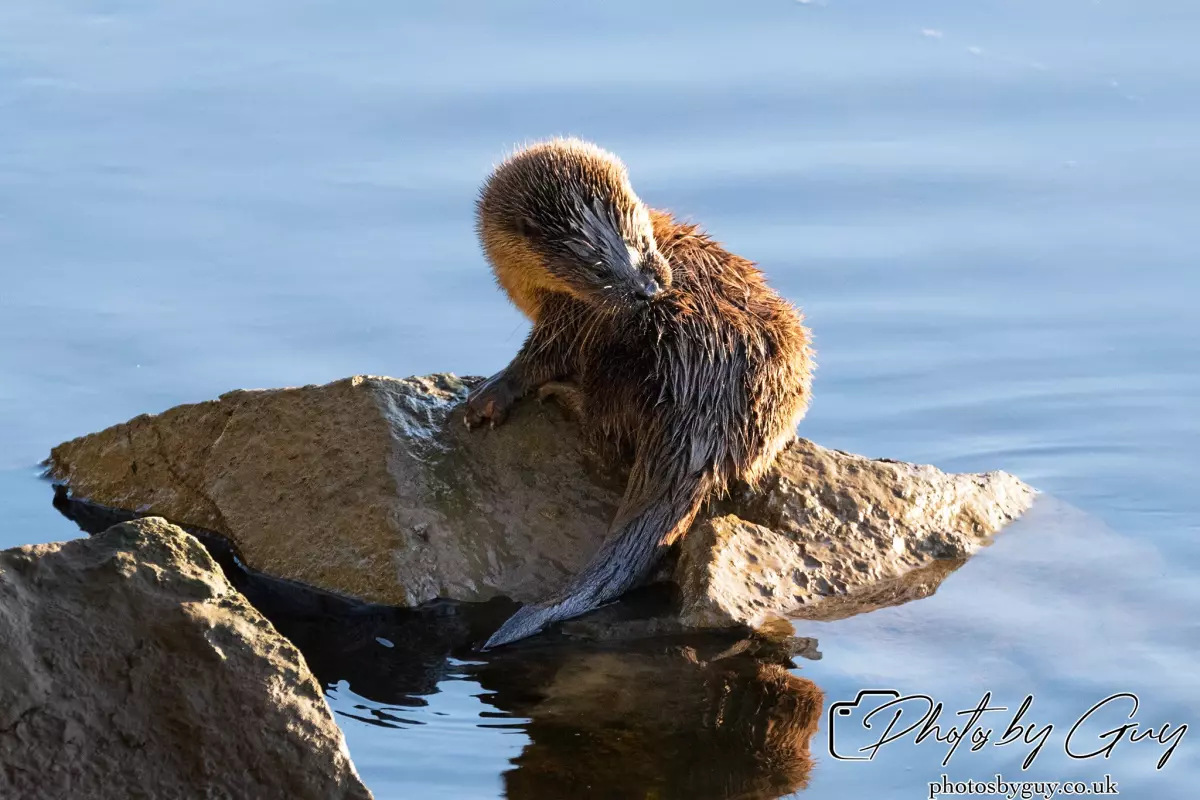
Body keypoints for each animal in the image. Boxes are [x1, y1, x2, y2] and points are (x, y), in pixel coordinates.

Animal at [468, 138, 813, 647]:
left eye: (641, 244)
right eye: (597, 267)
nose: (649, 290)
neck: (529, 289)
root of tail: (703, 414)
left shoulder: (573, 319)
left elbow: (537, 359)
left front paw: (488, 395)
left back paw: (563, 396)